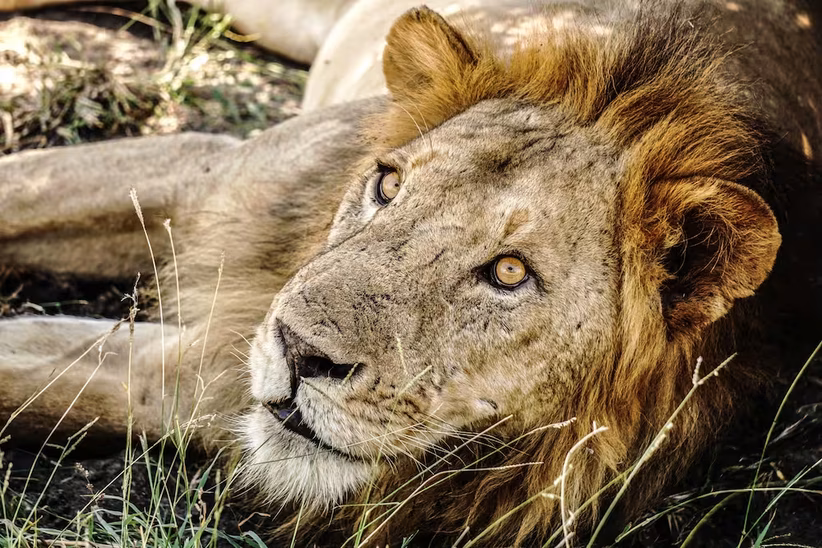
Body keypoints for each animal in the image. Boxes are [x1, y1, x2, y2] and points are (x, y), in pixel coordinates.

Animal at [1, 0, 821, 545]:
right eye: (388, 185)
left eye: (510, 273)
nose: (297, 350)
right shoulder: (211, 169)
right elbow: (21, 185)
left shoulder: (176, 386)